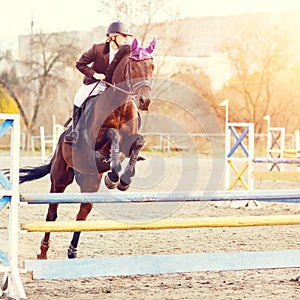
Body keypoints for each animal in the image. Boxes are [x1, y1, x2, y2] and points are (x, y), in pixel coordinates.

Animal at [17, 37, 156, 258]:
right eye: (133, 66)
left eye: (151, 67)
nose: (145, 101)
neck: (120, 106)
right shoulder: (95, 139)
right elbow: (112, 134)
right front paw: (114, 176)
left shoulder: (130, 142)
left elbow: (138, 142)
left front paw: (123, 179)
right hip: (59, 179)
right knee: (52, 214)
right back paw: (43, 253)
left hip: (90, 183)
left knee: (81, 216)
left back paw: (72, 252)